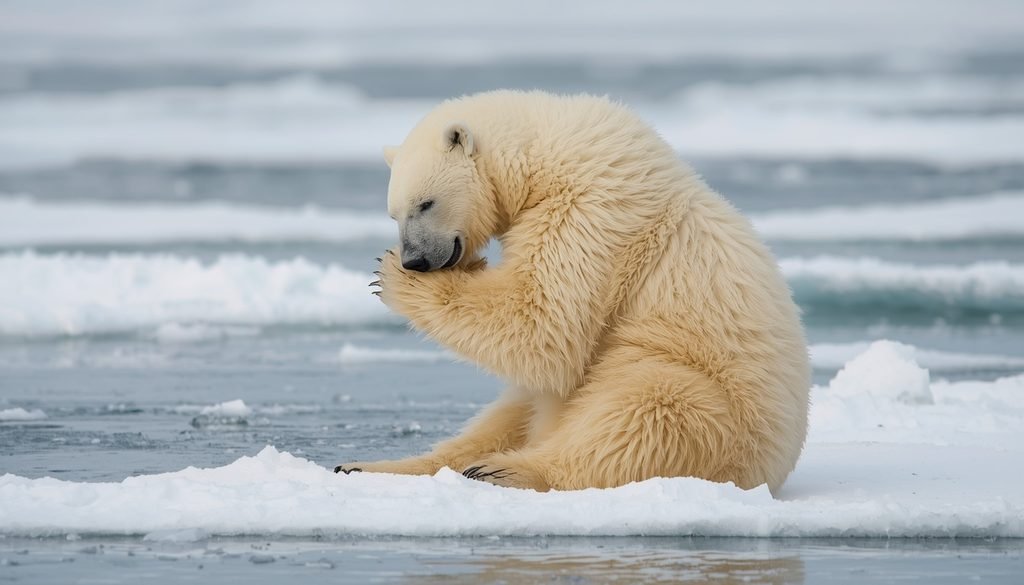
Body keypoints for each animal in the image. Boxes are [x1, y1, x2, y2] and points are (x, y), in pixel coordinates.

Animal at [335, 90, 810, 495]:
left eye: (425, 203)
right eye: (394, 212)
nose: (416, 260)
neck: (547, 153)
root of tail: (777, 467)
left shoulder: (589, 209)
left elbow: (541, 320)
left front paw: (391, 276)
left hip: (720, 409)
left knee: (646, 409)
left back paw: (504, 470)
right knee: (510, 412)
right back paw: (368, 466)